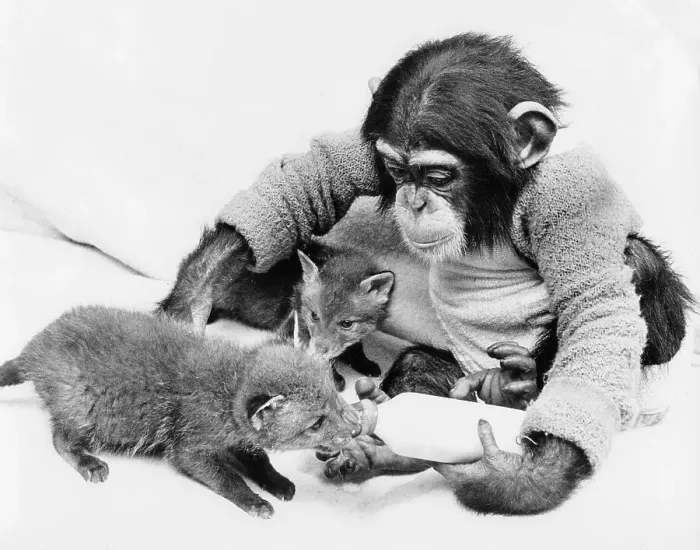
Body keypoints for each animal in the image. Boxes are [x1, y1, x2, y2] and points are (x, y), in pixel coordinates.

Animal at [0, 305, 361, 519]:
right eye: (316, 423)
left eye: (334, 394)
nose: (356, 429)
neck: (229, 386)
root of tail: (33, 349)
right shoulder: (189, 448)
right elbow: (227, 479)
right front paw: (255, 501)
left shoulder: (239, 440)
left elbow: (260, 460)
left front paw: (278, 481)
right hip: (83, 409)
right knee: (60, 440)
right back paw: (89, 463)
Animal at [157, 33, 695, 514]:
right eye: (396, 171)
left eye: (438, 176)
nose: (413, 201)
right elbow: (320, 170)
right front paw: (189, 301)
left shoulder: (573, 199)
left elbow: (596, 308)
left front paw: (512, 478)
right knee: (419, 370)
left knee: (637, 266)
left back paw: (513, 385)